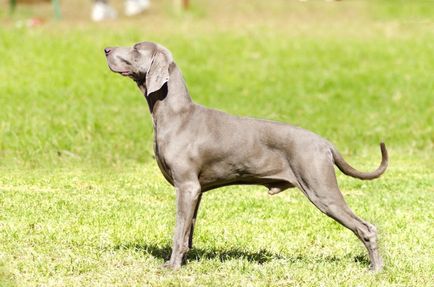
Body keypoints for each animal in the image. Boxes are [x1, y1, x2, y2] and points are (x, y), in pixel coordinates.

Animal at [104, 41, 386, 272]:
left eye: (137, 48)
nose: (106, 49)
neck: (176, 115)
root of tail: (324, 143)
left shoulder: (186, 186)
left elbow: (177, 231)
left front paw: (172, 266)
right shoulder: (196, 191)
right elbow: (187, 231)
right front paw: (184, 260)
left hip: (321, 189)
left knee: (366, 228)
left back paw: (376, 269)